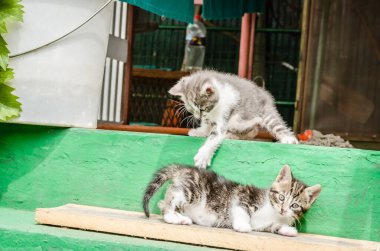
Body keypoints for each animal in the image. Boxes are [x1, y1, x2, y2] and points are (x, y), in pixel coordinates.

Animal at [142, 164, 320, 236]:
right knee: (170, 196)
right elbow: (243, 212)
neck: (273, 212)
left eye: (294, 205)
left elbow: (275, 226)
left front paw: (287, 230)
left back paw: (180, 218)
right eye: (281, 197)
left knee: (164, 202)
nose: (283, 209)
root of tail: (185, 169)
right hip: (192, 190)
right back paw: (171, 216)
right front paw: (243, 226)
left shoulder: (267, 224)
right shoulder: (243, 197)